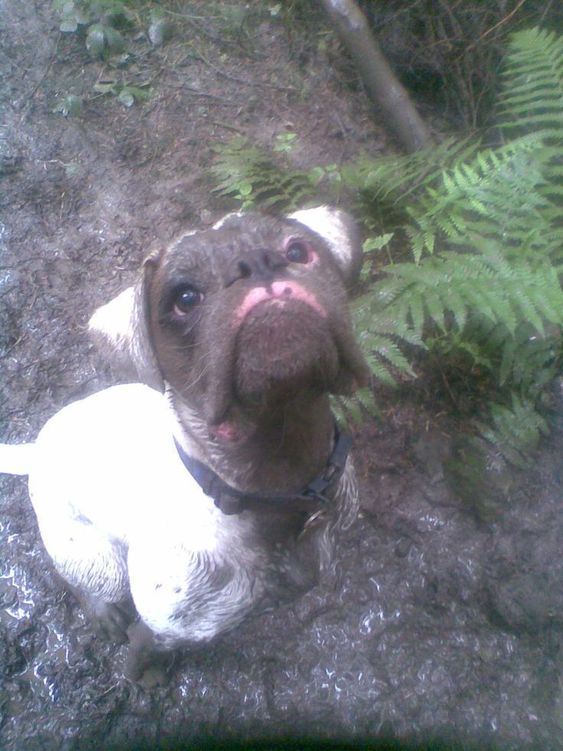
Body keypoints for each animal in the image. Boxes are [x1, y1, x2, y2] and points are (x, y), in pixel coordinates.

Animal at [1, 207, 370, 680]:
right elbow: (141, 655)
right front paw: (145, 678)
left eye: (297, 250)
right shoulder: (161, 630)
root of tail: (39, 445)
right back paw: (103, 610)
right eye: (185, 298)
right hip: (95, 558)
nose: (258, 262)